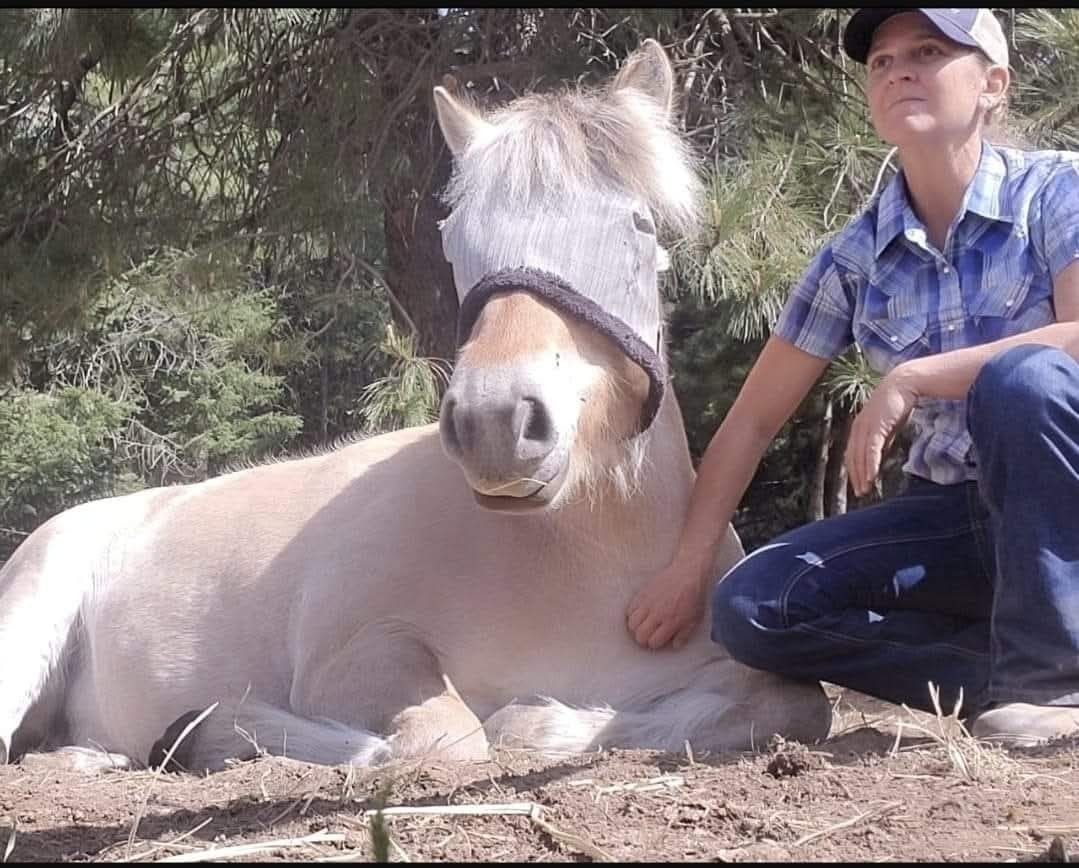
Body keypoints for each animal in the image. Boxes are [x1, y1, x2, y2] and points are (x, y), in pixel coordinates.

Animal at [0, 39, 831, 773]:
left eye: (638, 225)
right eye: (456, 237)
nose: (496, 424)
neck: (583, 555)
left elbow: (794, 704)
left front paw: (545, 724)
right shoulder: (356, 655)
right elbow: (448, 737)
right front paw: (210, 733)